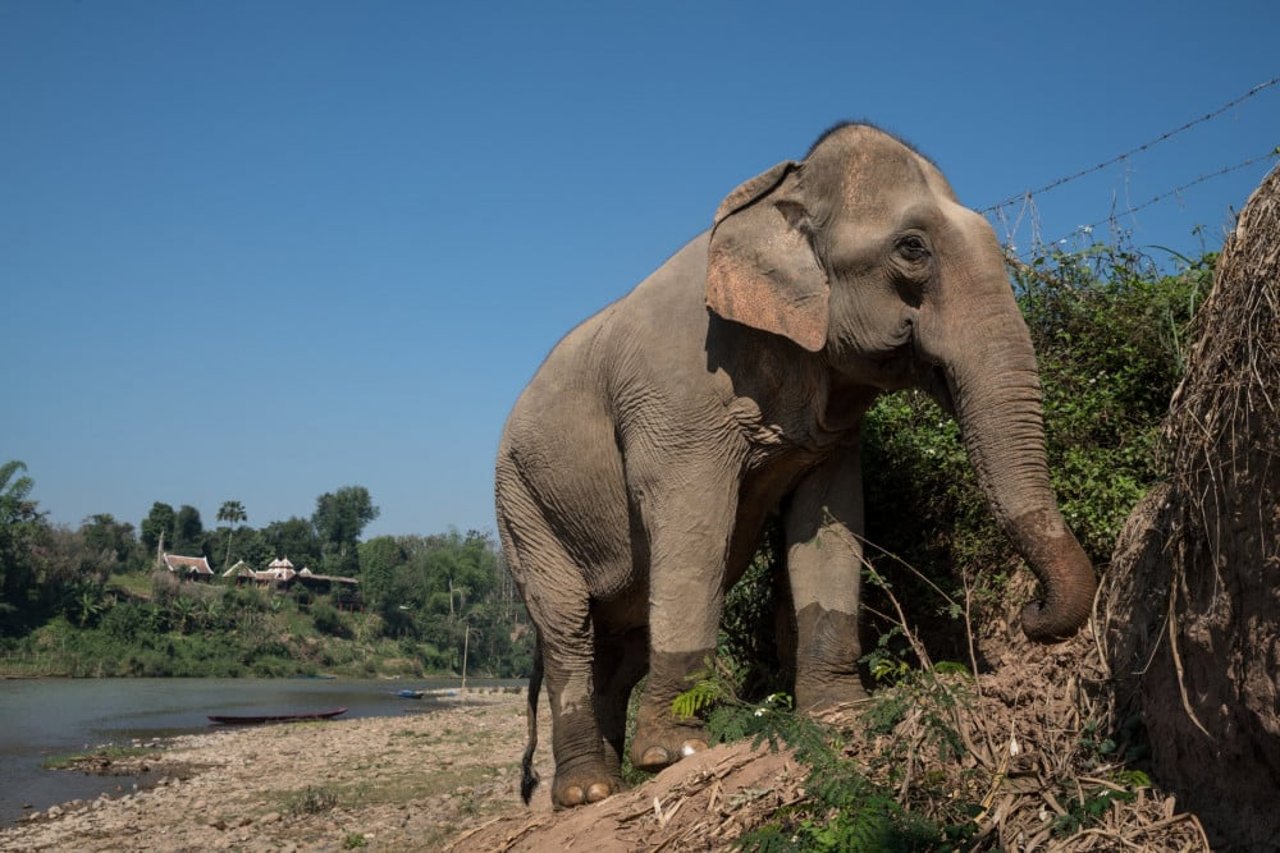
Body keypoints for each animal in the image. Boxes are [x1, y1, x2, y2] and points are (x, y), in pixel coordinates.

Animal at [494, 119, 1095, 804]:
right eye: (912, 249)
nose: (1030, 614)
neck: (784, 194)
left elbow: (830, 517)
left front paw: (839, 712)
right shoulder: (676, 401)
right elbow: (695, 527)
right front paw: (676, 754)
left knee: (619, 643)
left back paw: (609, 785)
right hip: (521, 508)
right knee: (568, 627)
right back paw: (587, 794)